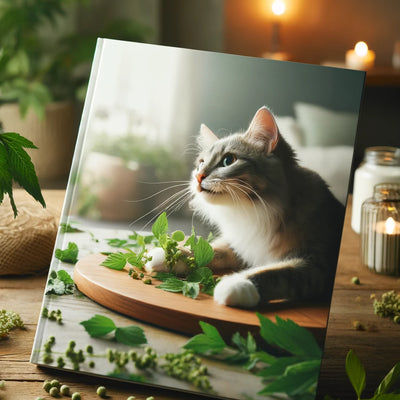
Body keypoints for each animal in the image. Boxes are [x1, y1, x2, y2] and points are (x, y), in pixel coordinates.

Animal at [147, 107, 344, 310]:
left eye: (228, 161)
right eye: (201, 163)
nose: (198, 176)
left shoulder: (318, 263)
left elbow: (278, 273)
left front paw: (239, 284)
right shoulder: (242, 244)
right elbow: (211, 250)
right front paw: (168, 255)